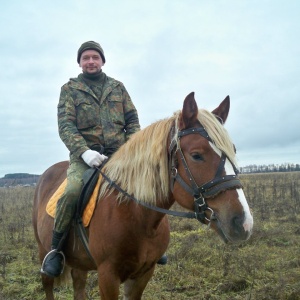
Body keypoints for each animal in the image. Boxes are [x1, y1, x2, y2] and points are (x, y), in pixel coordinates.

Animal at [32, 92, 253, 298]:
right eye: (196, 155)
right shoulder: (107, 276)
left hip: (79, 263)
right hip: (44, 253)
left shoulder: (143, 274)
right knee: (48, 286)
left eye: (232, 150)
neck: (136, 216)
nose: (243, 223)